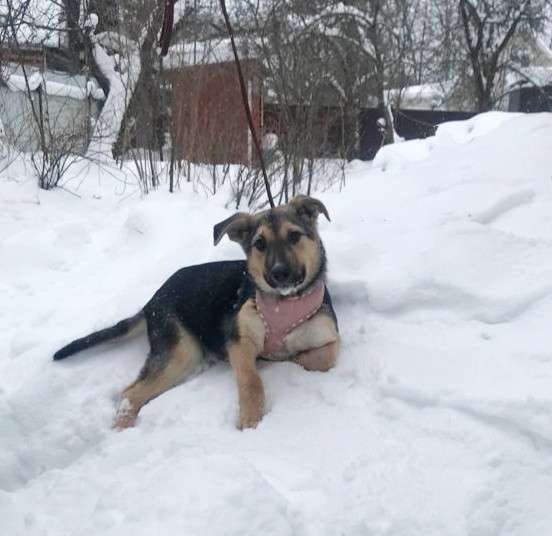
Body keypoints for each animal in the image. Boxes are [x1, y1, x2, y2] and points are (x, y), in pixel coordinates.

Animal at [54, 195, 338, 430]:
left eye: (294, 236)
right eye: (259, 244)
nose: (280, 273)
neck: (284, 302)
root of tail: (152, 299)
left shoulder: (331, 339)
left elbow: (323, 359)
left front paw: (286, 359)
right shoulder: (238, 341)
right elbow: (251, 381)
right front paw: (251, 420)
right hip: (180, 352)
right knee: (129, 393)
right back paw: (122, 427)